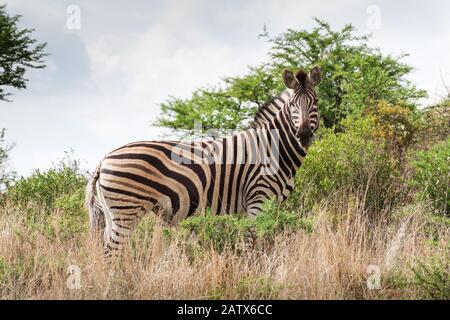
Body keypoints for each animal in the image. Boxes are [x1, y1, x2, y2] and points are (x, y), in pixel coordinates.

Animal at [85, 66, 320, 258]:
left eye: (315, 102)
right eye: (293, 105)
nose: (304, 135)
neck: (272, 148)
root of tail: (105, 157)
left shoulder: (273, 205)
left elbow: (268, 241)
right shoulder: (257, 199)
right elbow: (253, 241)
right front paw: (252, 271)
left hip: (113, 212)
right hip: (126, 209)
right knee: (112, 251)